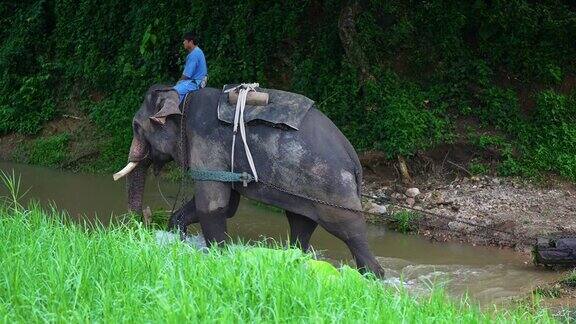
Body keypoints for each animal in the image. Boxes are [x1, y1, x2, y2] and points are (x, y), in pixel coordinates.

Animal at [113, 84, 382, 276]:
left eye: (136, 127)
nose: (138, 227)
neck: (182, 99)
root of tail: (354, 160)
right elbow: (226, 205)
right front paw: (177, 235)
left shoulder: (206, 143)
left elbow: (213, 206)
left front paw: (219, 256)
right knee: (300, 225)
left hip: (331, 188)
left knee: (351, 232)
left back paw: (373, 276)